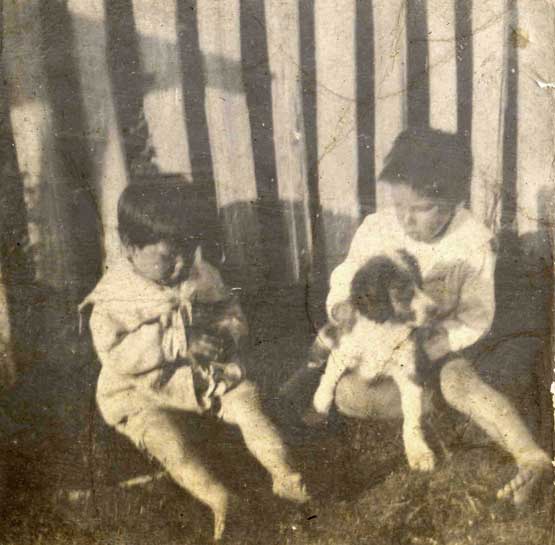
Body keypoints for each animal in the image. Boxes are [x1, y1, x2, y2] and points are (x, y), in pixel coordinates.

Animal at [308, 250, 438, 471]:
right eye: (401, 289)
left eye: (419, 283)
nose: (435, 309)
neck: (385, 326)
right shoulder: (346, 347)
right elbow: (331, 372)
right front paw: (320, 401)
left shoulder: (409, 371)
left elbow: (412, 416)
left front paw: (418, 452)